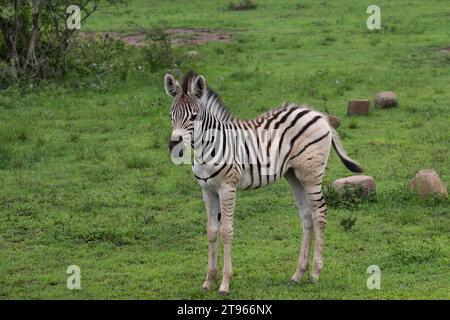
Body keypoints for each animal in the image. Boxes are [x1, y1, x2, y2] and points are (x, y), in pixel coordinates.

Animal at [162, 70, 362, 296]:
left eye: (194, 117)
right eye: (171, 116)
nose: (173, 144)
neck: (209, 147)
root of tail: (317, 114)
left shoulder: (227, 188)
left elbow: (226, 231)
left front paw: (224, 284)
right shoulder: (207, 190)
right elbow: (212, 231)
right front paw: (208, 281)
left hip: (311, 174)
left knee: (320, 213)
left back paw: (315, 273)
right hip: (294, 175)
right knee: (306, 216)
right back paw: (297, 274)